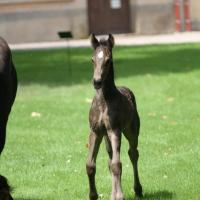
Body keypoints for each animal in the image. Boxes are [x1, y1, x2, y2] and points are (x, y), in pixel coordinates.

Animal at [86, 34, 142, 200]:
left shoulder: (114, 130)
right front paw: (93, 195)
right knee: (110, 159)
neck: (104, 101)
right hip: (106, 137)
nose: (97, 82)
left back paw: (138, 189)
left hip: (131, 131)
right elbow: (90, 165)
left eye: (108, 60)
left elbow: (117, 165)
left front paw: (120, 196)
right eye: (92, 59)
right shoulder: (95, 132)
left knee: (133, 154)